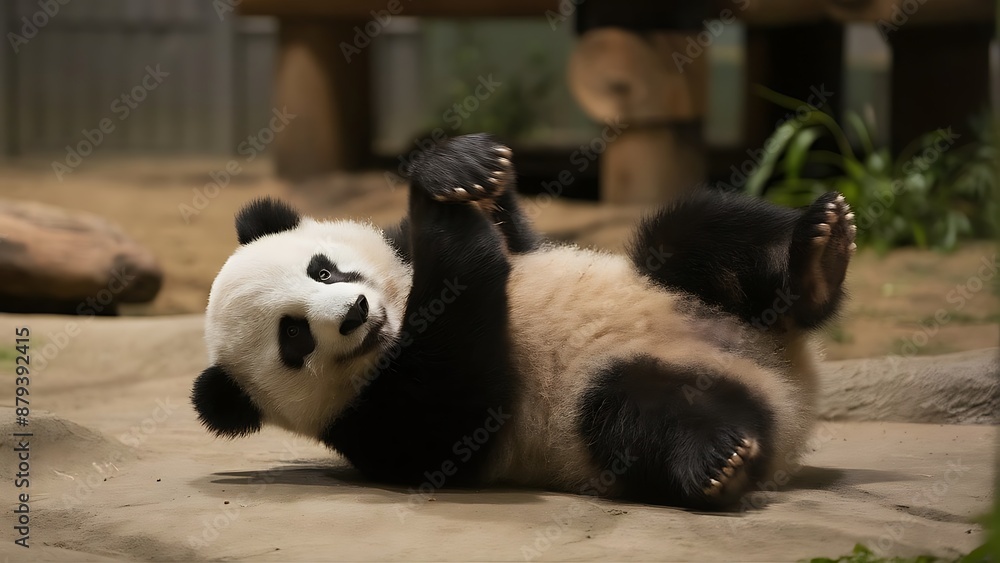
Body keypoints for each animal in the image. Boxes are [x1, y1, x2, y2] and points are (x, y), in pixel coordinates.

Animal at [192, 133, 855, 510]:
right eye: (294, 337)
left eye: (323, 271)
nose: (355, 314)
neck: (404, 313)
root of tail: (792, 392)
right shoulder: (373, 420)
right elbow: (456, 404)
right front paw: (449, 224)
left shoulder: (455, 252)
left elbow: (516, 236)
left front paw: (458, 170)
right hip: (610, 403)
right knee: (628, 414)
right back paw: (717, 462)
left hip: (693, 289)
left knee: (688, 234)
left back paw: (819, 256)